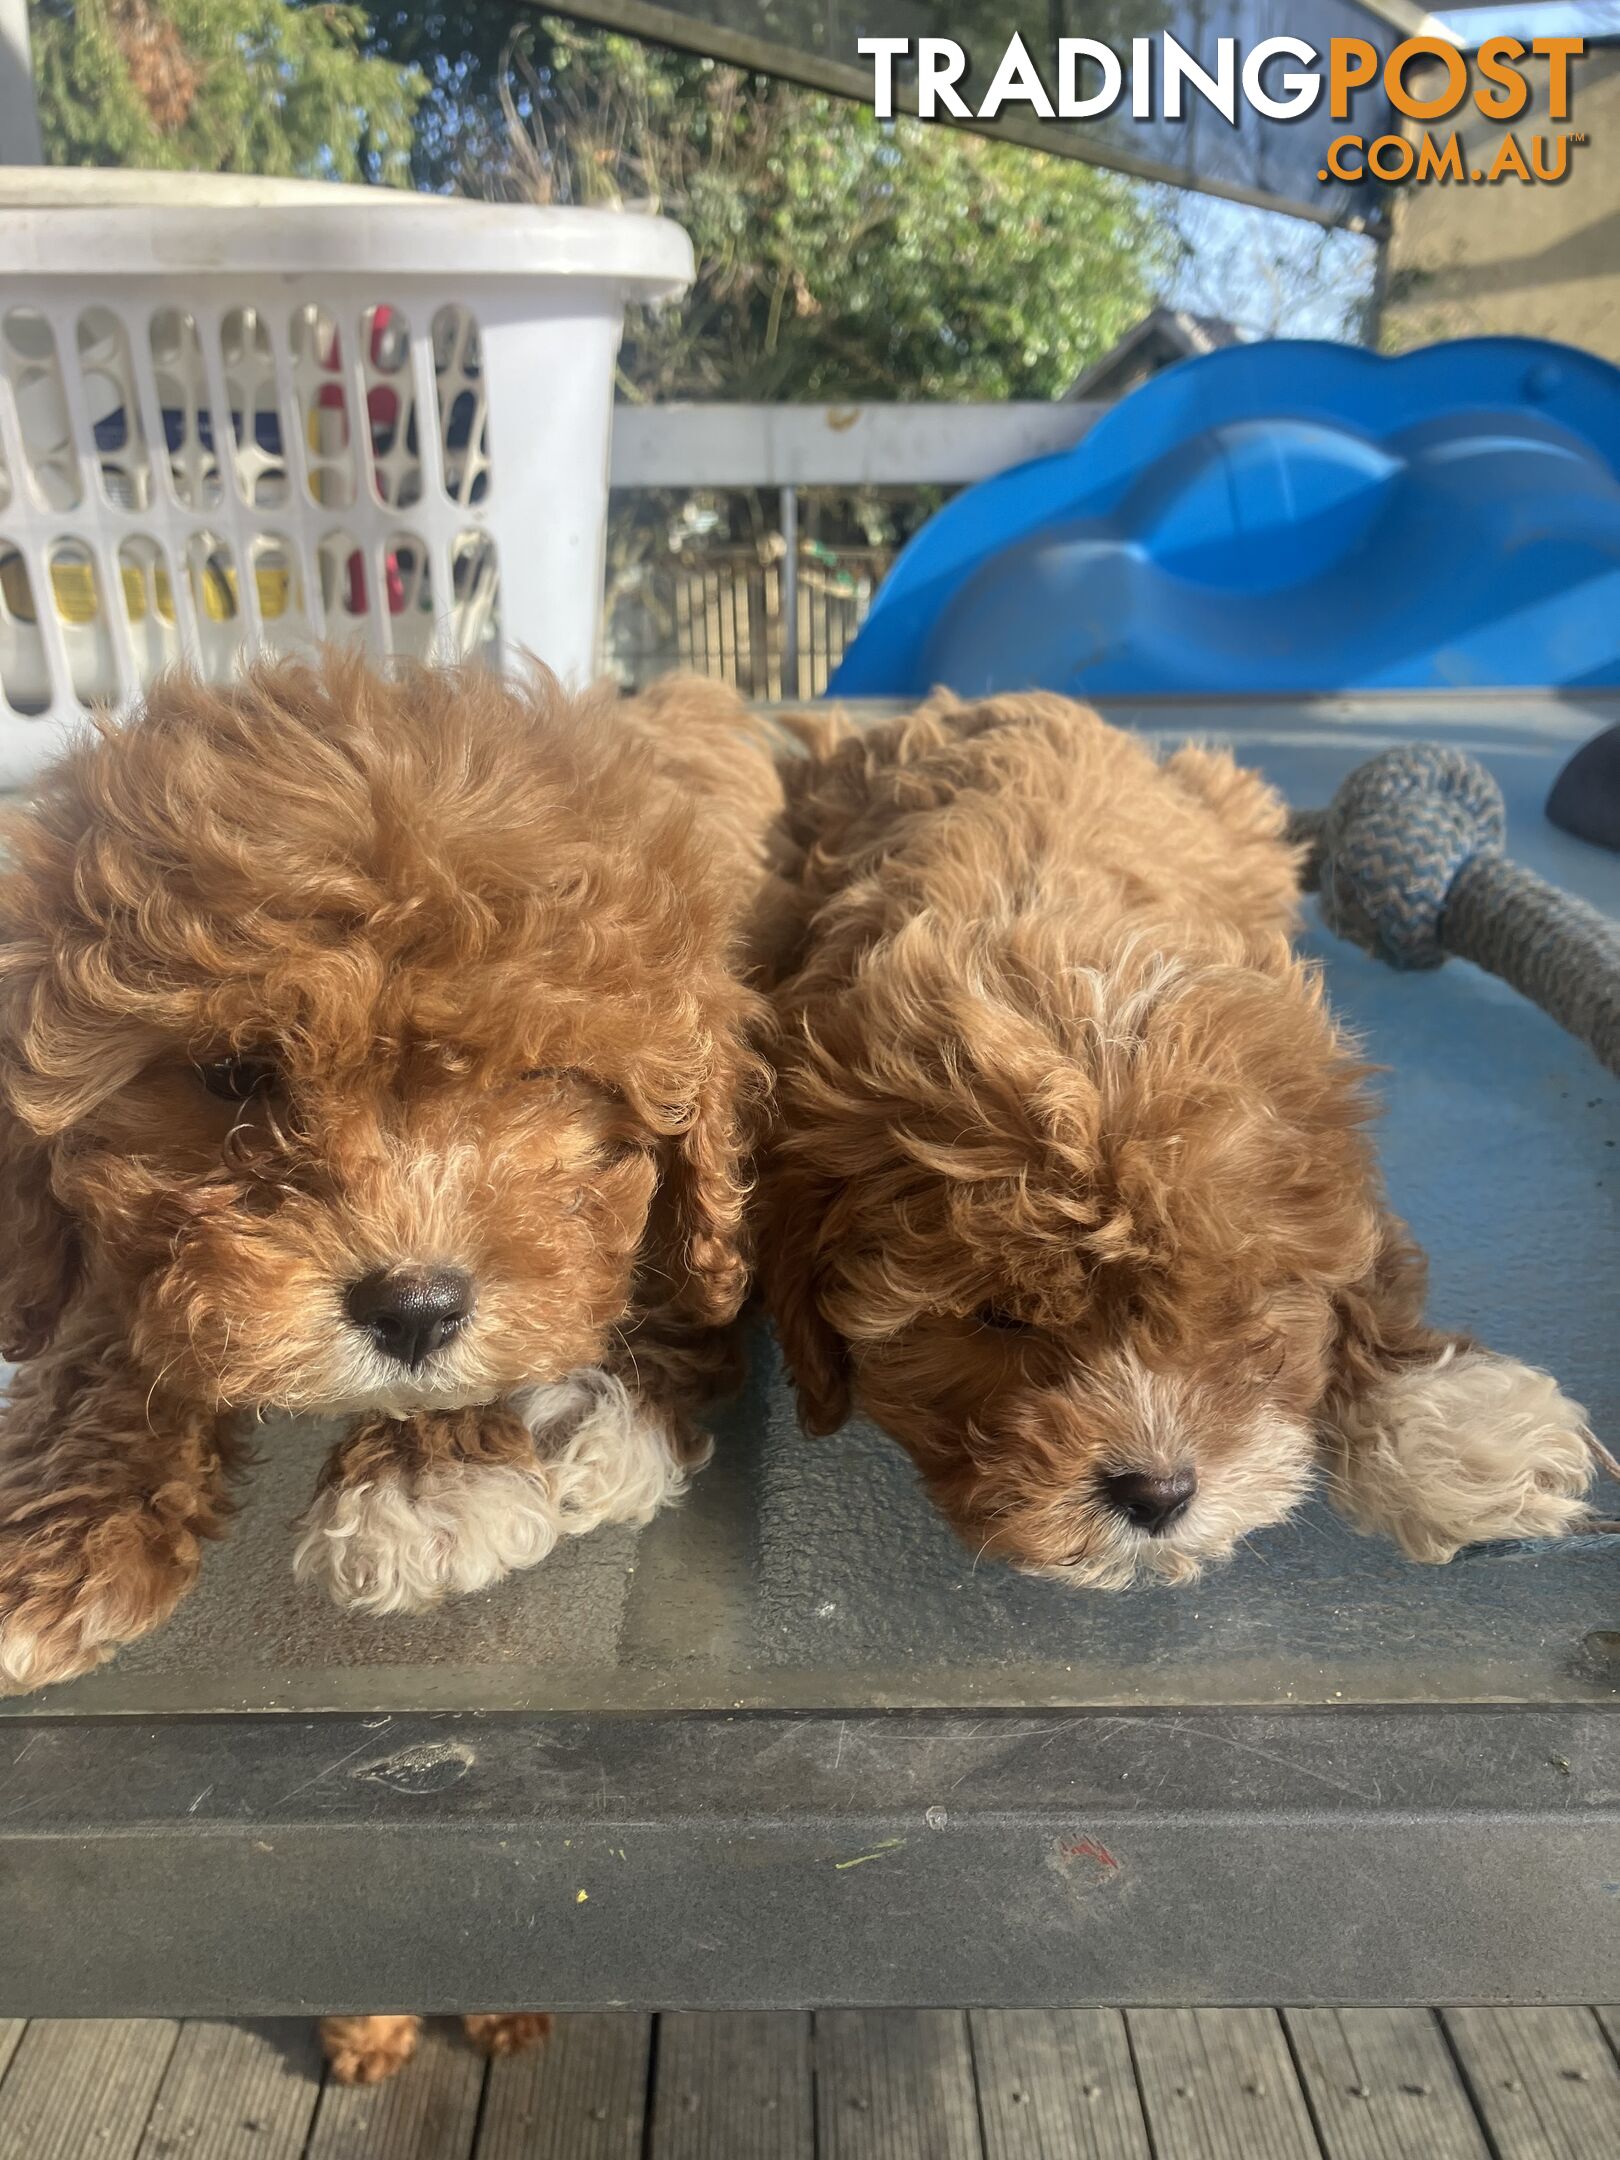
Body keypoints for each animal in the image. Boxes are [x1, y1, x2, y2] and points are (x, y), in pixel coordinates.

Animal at [0, 648, 786, 1693]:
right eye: (235, 1074)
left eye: (537, 1077)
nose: (412, 1310)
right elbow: (104, 1339)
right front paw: (55, 1539)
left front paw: (432, 1483)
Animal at [764, 695, 1598, 1589]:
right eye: (1000, 1319)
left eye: (1229, 1302)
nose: (1155, 1494)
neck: (1061, 961)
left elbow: (1373, 1269)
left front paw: (1452, 1428)